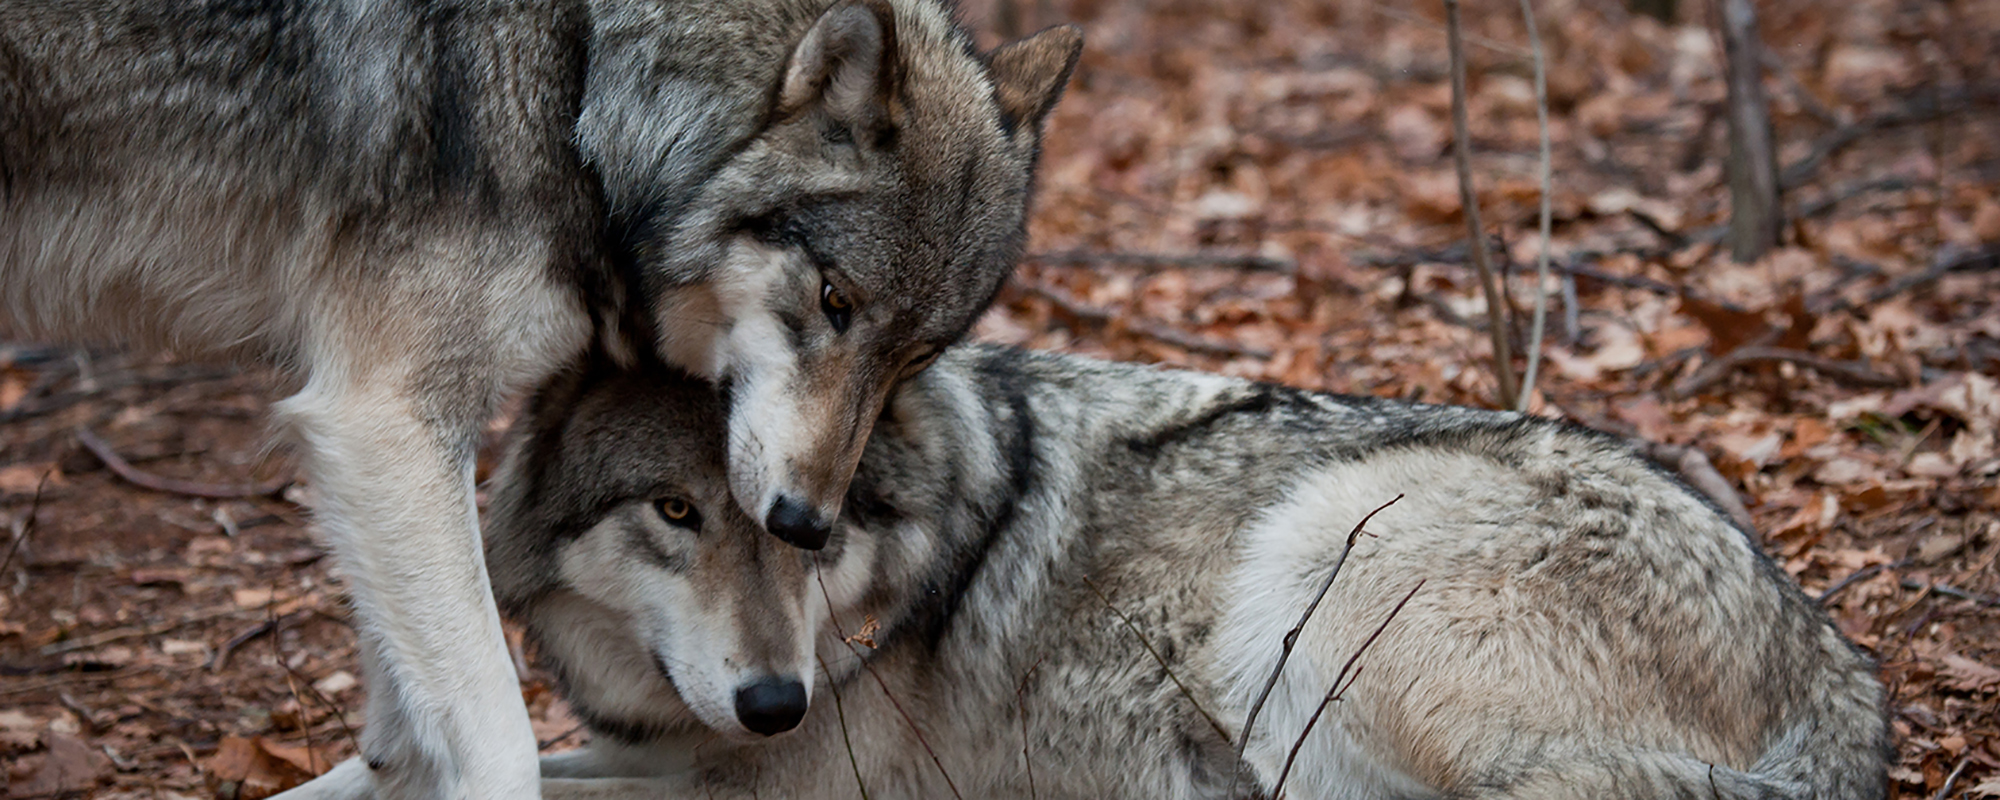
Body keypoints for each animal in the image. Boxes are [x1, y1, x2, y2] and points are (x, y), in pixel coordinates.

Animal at [0, 1, 1080, 792]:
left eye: (917, 355)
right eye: (833, 300)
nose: (805, 521)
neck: (577, 74)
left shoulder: (384, 442)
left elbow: (403, 728)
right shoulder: (383, 413)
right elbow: (502, 742)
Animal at [300, 346, 1888, 800]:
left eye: (807, 522)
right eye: (678, 511)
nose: (773, 701)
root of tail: (1841, 667)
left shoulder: (780, 792)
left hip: (1318, 558)